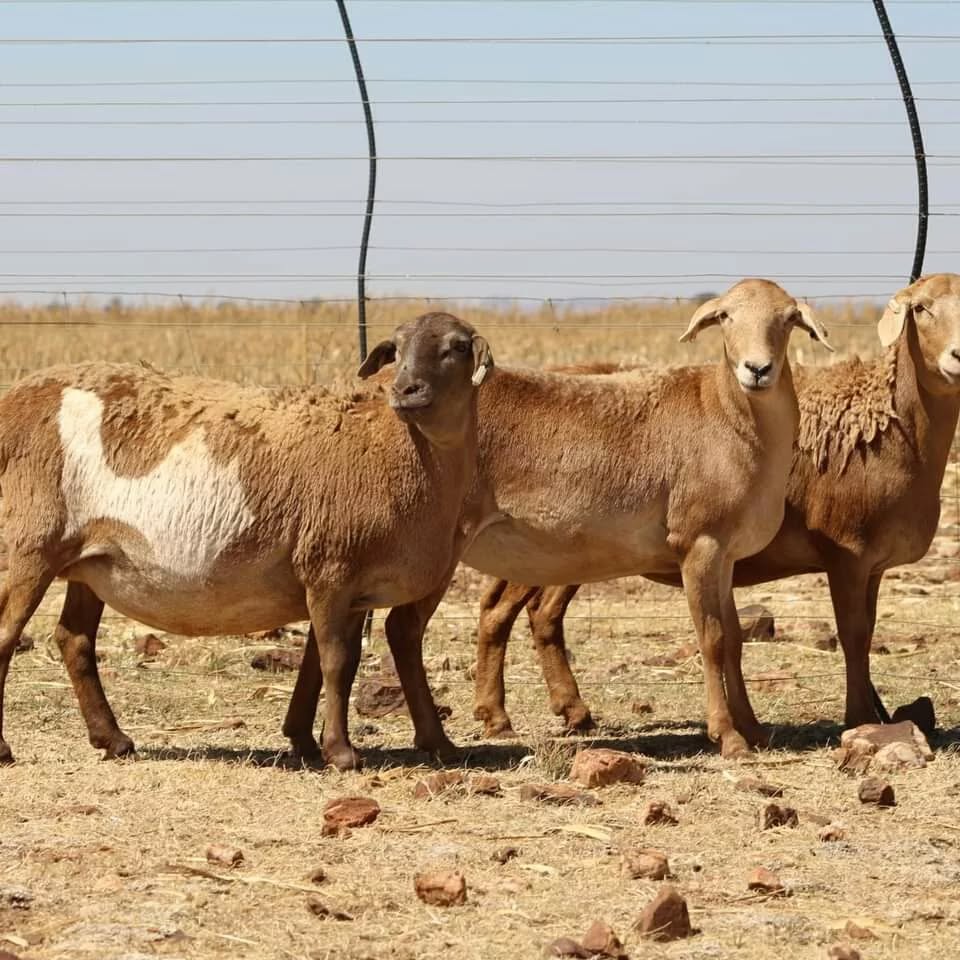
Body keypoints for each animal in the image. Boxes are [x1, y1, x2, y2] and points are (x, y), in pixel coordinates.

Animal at [0, 311, 493, 771]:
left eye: (457, 347)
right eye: (398, 347)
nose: (407, 390)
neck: (398, 447)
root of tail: (14, 397)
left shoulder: (346, 583)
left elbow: (318, 661)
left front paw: (304, 740)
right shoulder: (331, 567)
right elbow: (337, 661)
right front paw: (341, 752)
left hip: (91, 560)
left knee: (74, 639)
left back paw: (113, 739)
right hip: (30, 546)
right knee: (10, 633)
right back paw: (7, 749)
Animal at [288, 279, 834, 758]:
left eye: (787, 319)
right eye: (725, 317)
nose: (757, 369)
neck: (729, 417)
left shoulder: (726, 555)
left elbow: (736, 640)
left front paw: (755, 729)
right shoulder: (698, 543)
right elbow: (713, 640)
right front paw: (729, 737)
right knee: (402, 629)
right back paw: (438, 738)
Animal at [472, 273, 960, 739]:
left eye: (789, 319)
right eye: (921, 308)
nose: (957, 356)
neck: (890, 423)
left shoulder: (871, 565)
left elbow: (859, 633)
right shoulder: (846, 552)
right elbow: (852, 636)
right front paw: (858, 718)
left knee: (533, 612)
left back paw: (557, 710)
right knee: (508, 611)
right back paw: (503, 715)